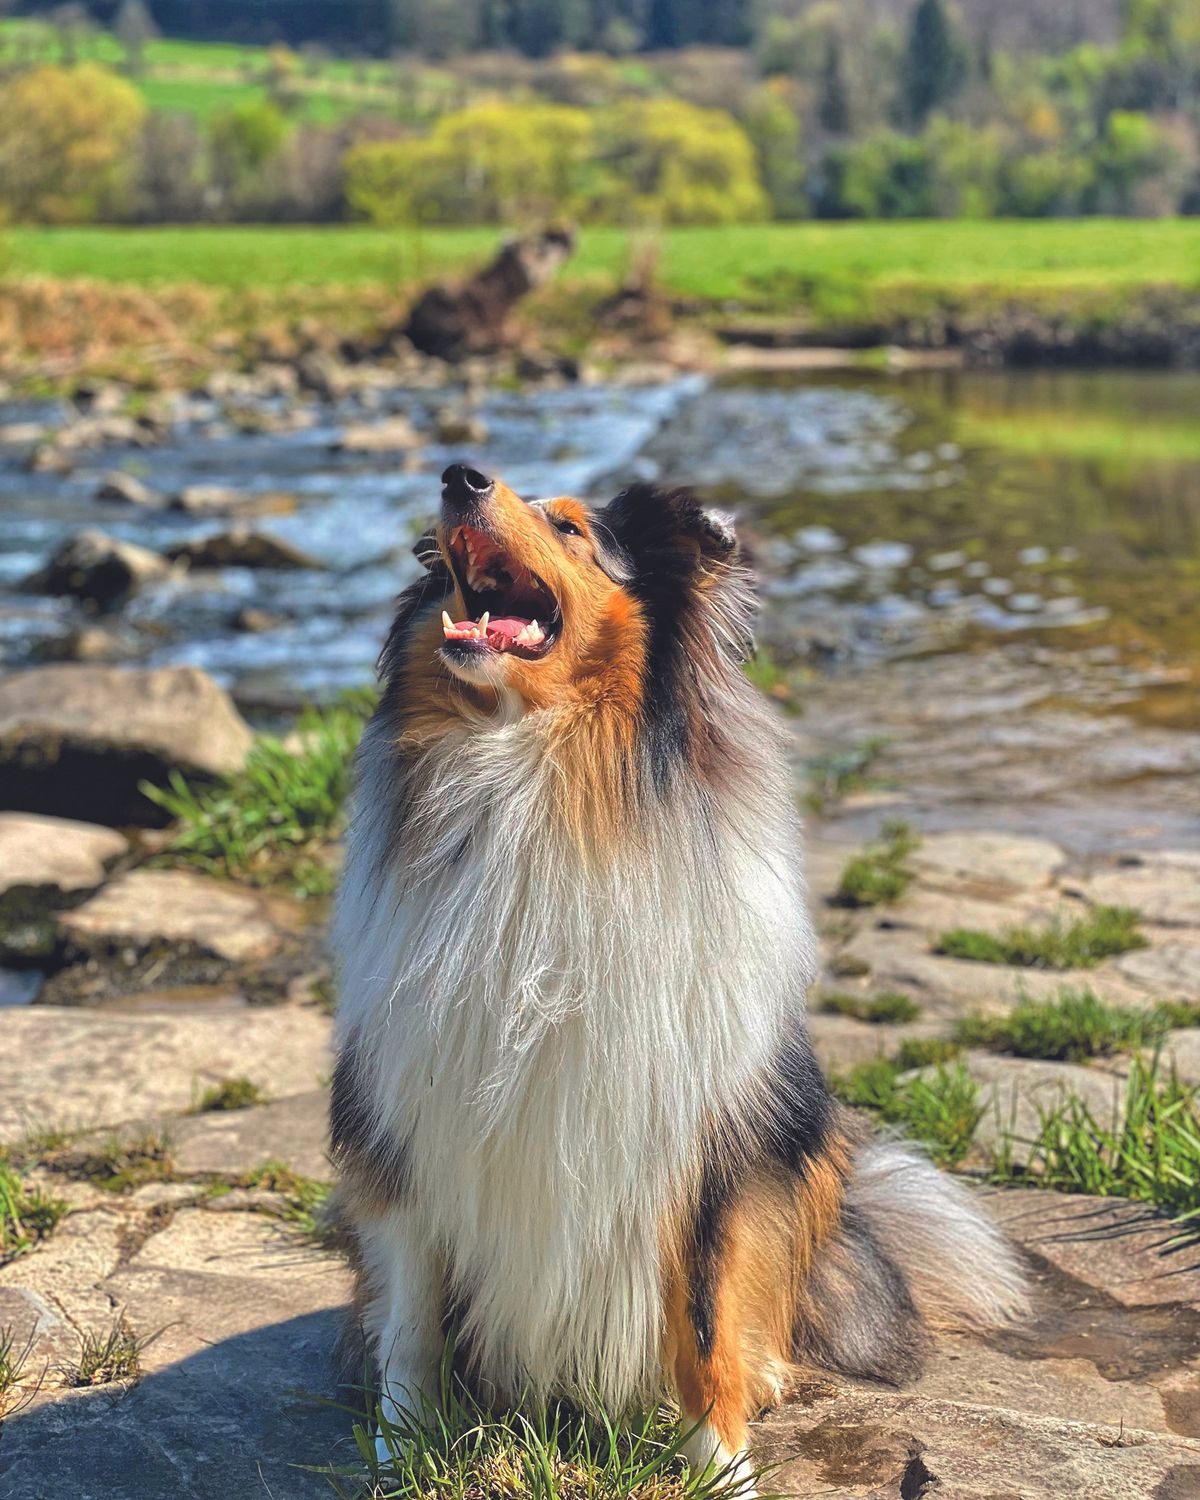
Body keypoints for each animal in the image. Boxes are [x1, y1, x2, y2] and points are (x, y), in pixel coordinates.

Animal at [333, 465, 1026, 1488]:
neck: (529, 769)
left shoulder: (699, 1137)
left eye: (573, 529)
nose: (458, 476)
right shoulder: (406, 1119)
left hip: (805, 1142)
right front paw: (405, 1447)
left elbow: (703, 1323)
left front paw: (720, 1469)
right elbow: (412, 1319)